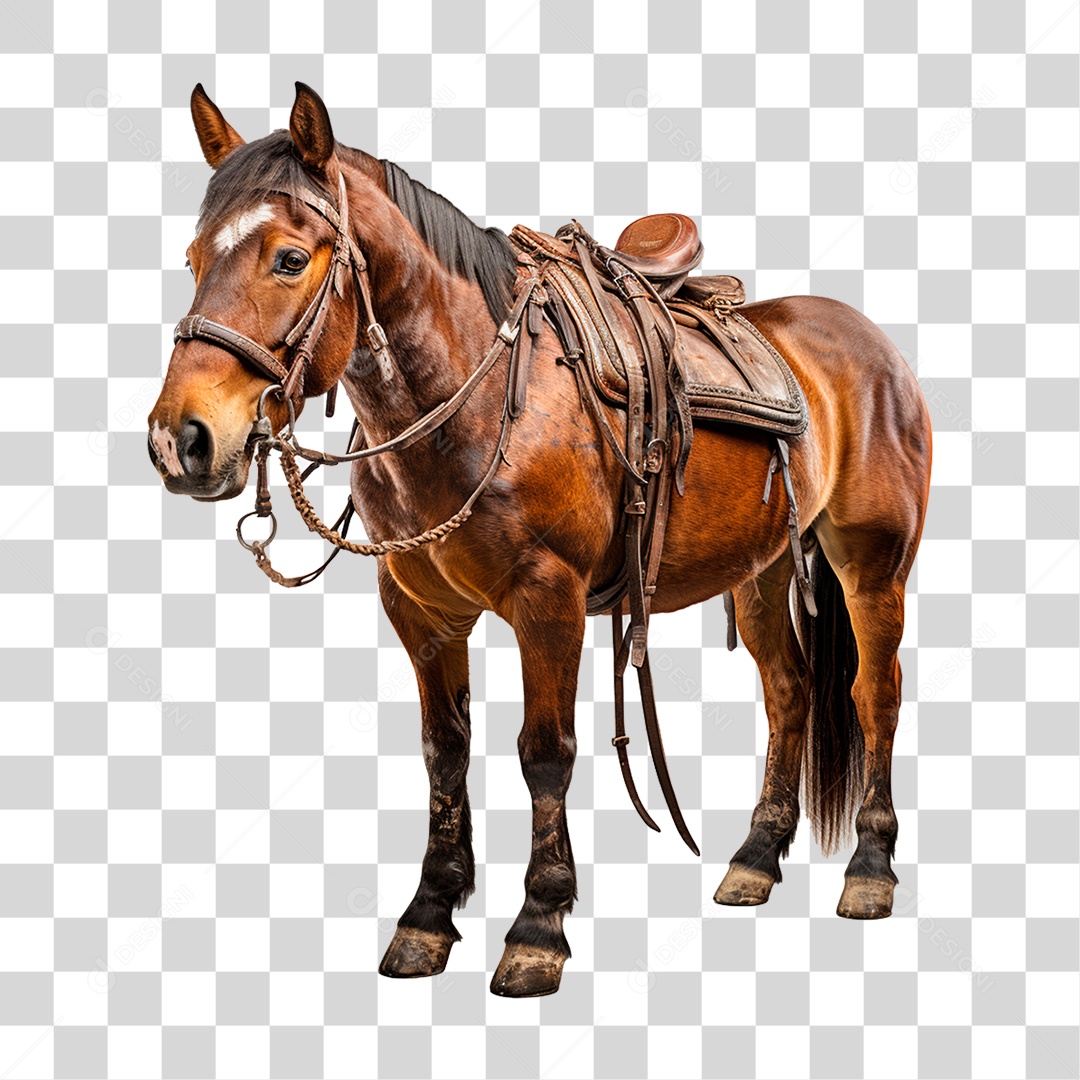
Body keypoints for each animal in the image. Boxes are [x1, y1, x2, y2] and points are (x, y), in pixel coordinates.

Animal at [148, 82, 933, 998]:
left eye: (287, 258)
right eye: (193, 259)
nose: (181, 440)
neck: (472, 393)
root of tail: (871, 344)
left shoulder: (547, 597)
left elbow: (544, 753)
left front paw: (538, 927)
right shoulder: (420, 607)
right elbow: (445, 751)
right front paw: (428, 915)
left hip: (871, 565)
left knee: (874, 695)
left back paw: (870, 869)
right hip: (764, 570)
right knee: (791, 691)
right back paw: (754, 858)